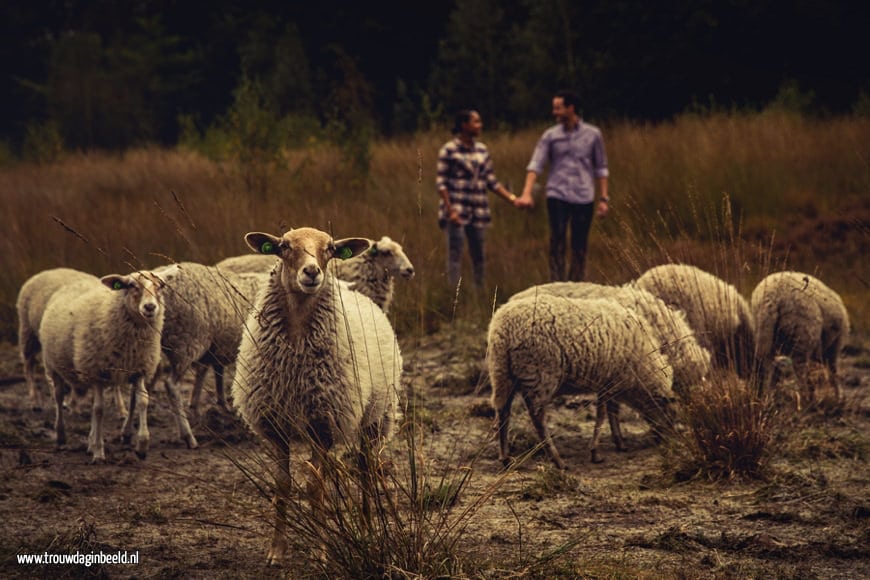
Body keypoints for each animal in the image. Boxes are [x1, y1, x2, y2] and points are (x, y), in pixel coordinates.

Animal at [39, 268, 179, 462]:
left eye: (161, 285)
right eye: (132, 285)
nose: (150, 307)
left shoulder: (139, 368)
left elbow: (142, 401)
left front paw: (142, 445)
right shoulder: (96, 370)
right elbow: (99, 410)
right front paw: (99, 451)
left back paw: (89, 442)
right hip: (53, 365)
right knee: (59, 397)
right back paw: (61, 436)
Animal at [233, 227, 408, 568]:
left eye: (329, 248)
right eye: (284, 246)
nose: (312, 271)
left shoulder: (322, 424)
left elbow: (316, 487)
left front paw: (320, 551)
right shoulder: (276, 426)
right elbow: (283, 486)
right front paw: (277, 550)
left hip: (375, 418)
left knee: (365, 470)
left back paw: (366, 527)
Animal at [488, 294, 676, 466]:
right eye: (668, 411)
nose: (668, 440)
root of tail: (504, 329)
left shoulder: (610, 382)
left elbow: (612, 412)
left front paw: (619, 442)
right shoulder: (608, 381)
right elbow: (602, 415)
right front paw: (595, 452)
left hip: (502, 374)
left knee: (503, 412)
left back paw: (505, 457)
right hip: (539, 374)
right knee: (538, 418)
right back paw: (556, 460)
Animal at [748, 270, 852, 398]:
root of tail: (771, 298)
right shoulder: (832, 348)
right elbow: (832, 373)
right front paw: (838, 397)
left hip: (765, 335)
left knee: (765, 367)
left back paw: (766, 396)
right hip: (801, 337)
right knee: (802, 375)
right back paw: (806, 399)